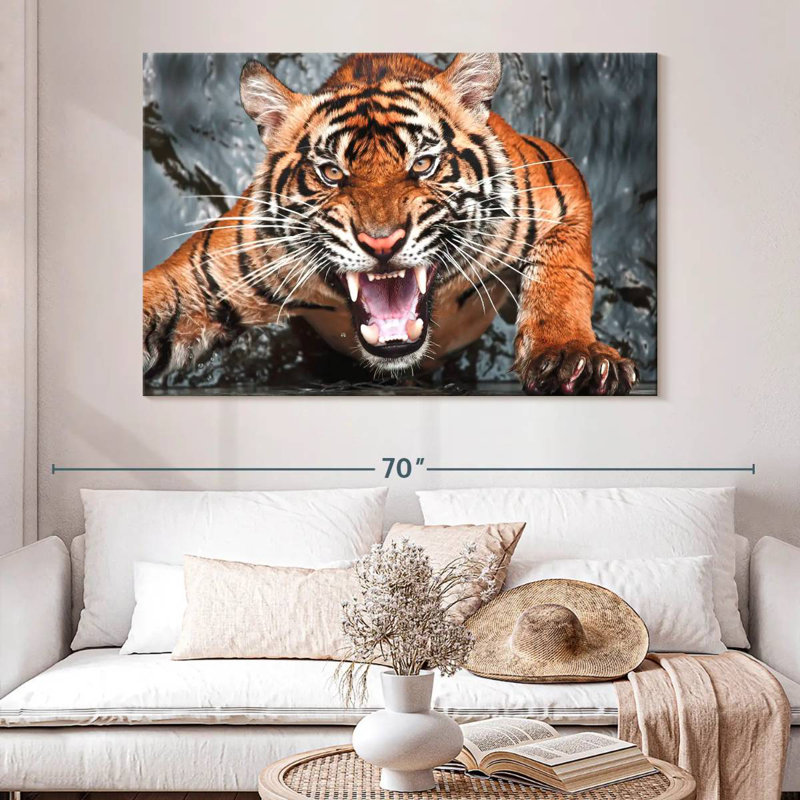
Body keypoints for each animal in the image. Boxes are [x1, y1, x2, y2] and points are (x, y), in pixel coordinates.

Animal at [143, 52, 638, 395]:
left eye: (422, 164)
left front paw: (572, 355)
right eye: (332, 173)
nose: (382, 243)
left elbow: (562, 274)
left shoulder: (560, 187)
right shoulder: (202, 279)